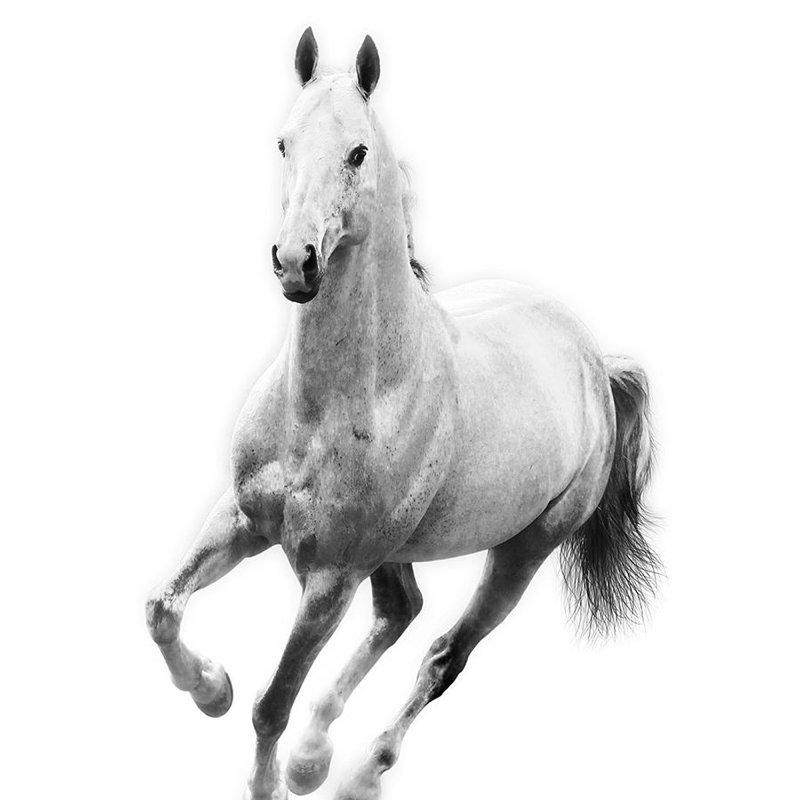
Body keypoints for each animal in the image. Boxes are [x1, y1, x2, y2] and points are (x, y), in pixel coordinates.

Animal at [145, 28, 660, 800]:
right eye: (283, 142)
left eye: (359, 151)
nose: (294, 261)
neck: (327, 408)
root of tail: (594, 362)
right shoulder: (242, 518)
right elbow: (163, 608)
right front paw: (211, 689)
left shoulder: (330, 577)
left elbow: (272, 703)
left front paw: (268, 770)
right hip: (391, 552)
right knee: (401, 611)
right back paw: (315, 757)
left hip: (522, 553)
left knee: (443, 654)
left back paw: (355, 772)